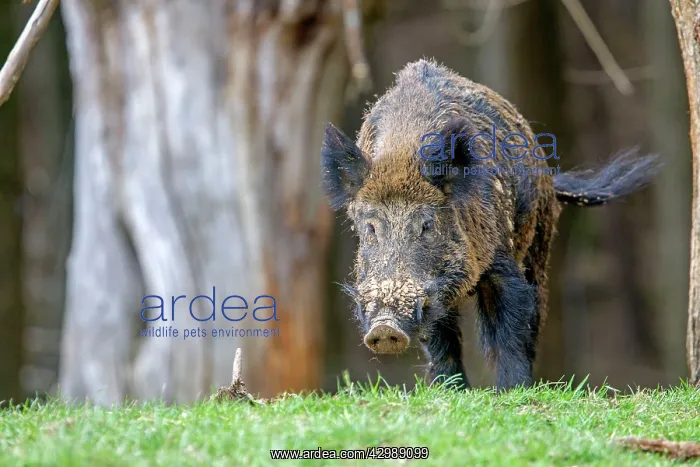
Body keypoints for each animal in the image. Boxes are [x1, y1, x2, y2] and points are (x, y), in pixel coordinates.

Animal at [321, 59, 661, 390]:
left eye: (427, 225)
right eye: (370, 228)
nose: (384, 329)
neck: (401, 156)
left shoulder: (500, 260)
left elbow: (509, 328)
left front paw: (512, 390)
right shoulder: (432, 294)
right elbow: (440, 339)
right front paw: (450, 391)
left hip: (539, 246)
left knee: (535, 313)